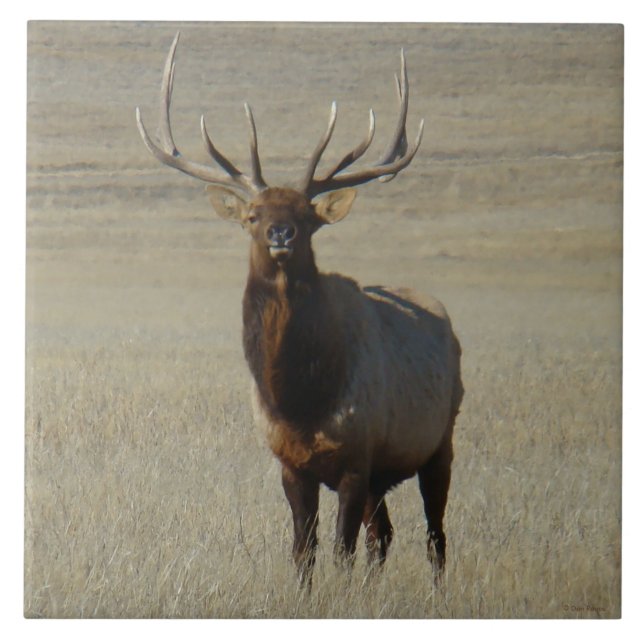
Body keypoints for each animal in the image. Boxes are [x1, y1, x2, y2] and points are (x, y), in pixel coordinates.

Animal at [136, 33, 463, 587]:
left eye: (309, 216)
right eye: (252, 214)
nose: (281, 232)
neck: (299, 399)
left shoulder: (356, 456)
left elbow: (341, 550)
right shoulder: (290, 463)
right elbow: (302, 550)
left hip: (440, 438)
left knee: (434, 536)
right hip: (384, 474)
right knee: (384, 535)